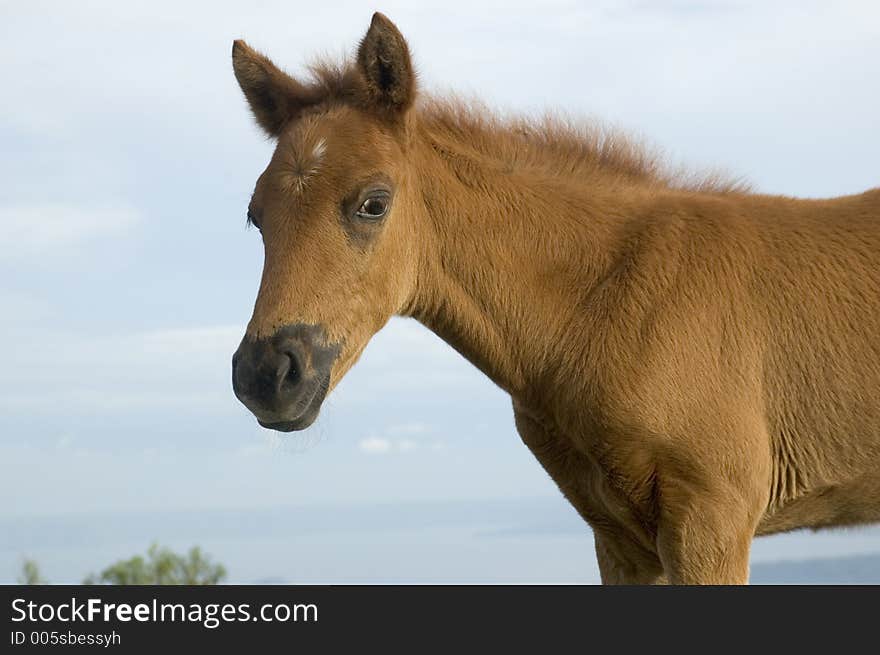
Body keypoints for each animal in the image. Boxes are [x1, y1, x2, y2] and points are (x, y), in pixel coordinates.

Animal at [229, 11, 880, 584]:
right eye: (256, 216)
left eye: (373, 203)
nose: (266, 374)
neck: (604, 307)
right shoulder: (620, 539)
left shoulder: (712, 518)